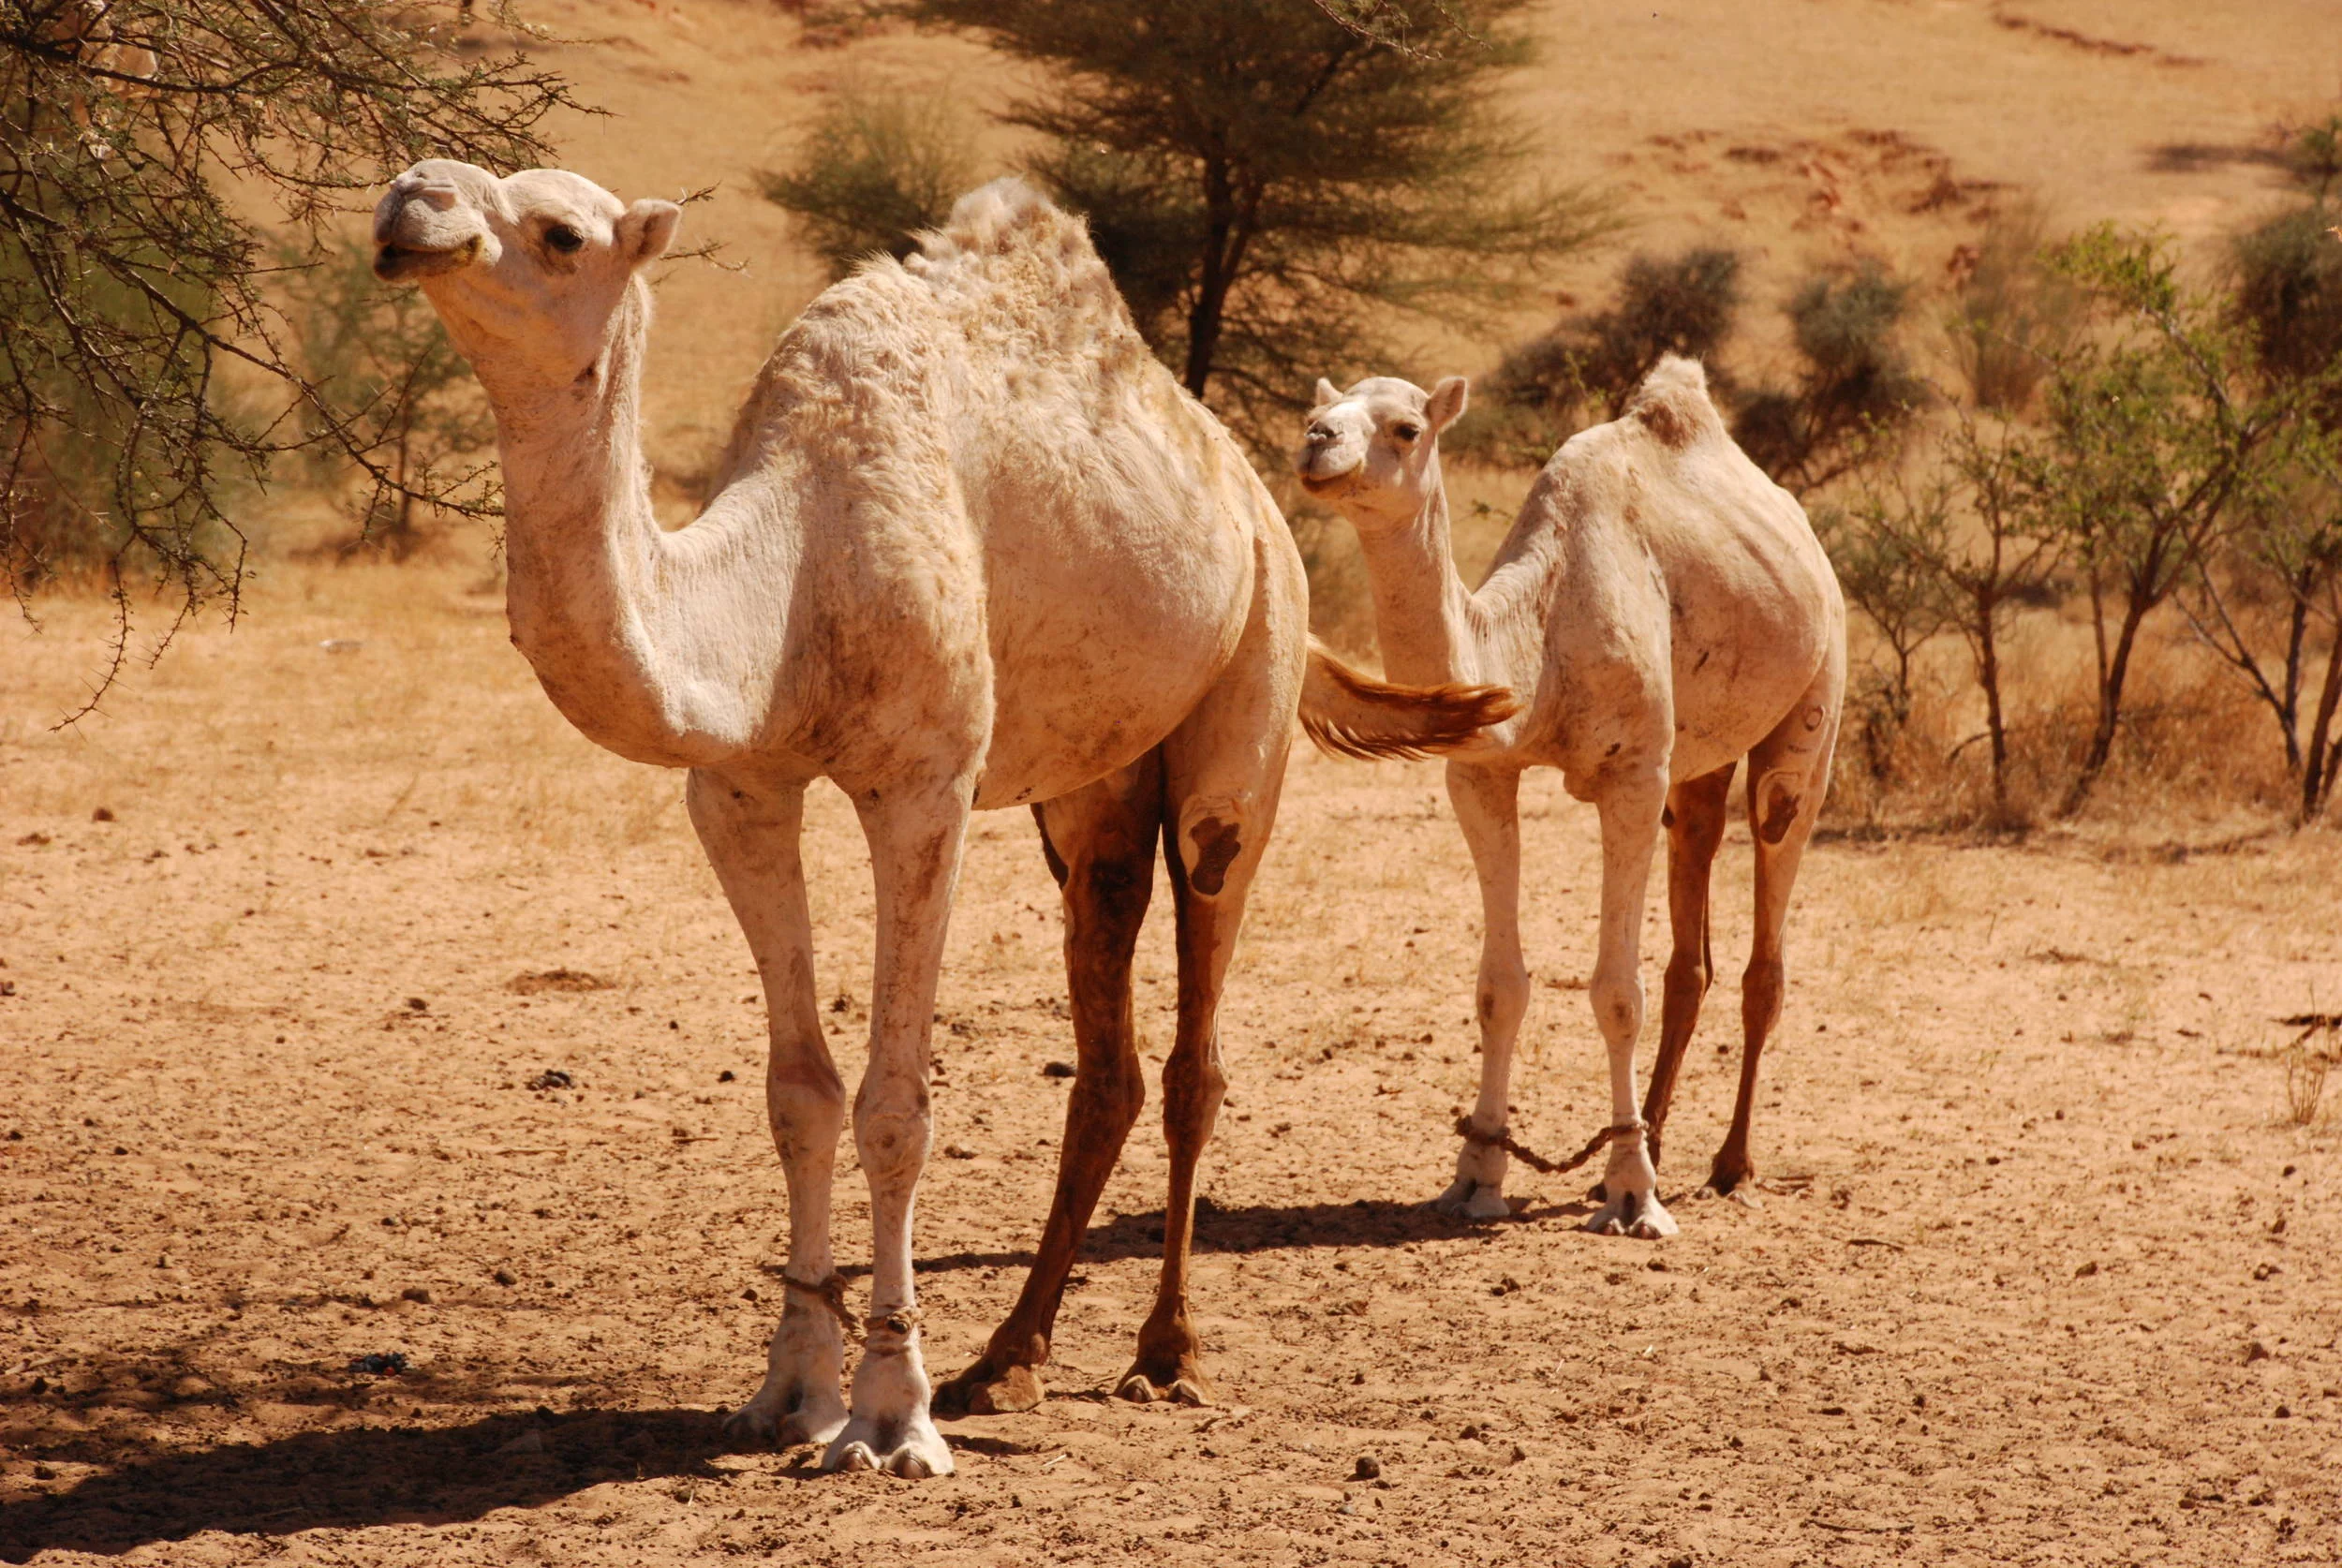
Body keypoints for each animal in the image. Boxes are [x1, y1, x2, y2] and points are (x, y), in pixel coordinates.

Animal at [372, 162, 1507, 1478]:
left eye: (559, 232)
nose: (412, 201)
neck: (789, 569)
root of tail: (1250, 491)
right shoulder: (739, 791)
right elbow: (799, 1094)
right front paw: (789, 1394)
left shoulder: (925, 785)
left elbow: (894, 1108)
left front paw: (887, 1415)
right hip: (1090, 802)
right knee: (1107, 1053)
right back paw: (1007, 1358)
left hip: (1245, 712)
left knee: (1198, 1041)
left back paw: (1164, 1354)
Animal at [1292, 359, 1845, 1239]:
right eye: (1320, 408)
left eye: (1407, 428)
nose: (1316, 443)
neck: (1539, 638)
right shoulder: (1479, 774)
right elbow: (1500, 987)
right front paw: (1478, 1176)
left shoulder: (1631, 778)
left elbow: (1617, 993)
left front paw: (1633, 1198)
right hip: (1695, 769)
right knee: (1693, 935)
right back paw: (1651, 1137)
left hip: (1811, 711)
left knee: (1770, 913)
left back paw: (1729, 1164)